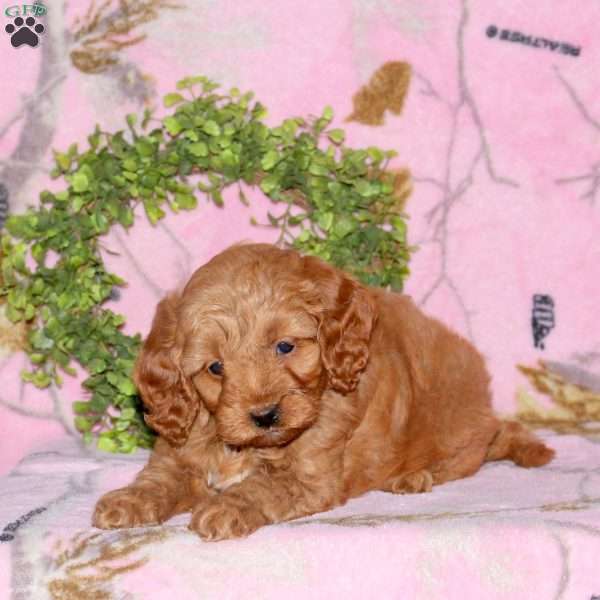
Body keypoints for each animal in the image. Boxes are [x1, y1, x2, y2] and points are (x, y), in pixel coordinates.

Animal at [91, 243, 556, 540]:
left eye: (285, 346)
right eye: (215, 368)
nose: (264, 415)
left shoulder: (309, 477)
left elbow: (262, 487)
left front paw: (226, 507)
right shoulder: (176, 453)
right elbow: (158, 480)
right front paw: (127, 501)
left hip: (454, 415)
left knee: (460, 460)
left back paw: (412, 476)